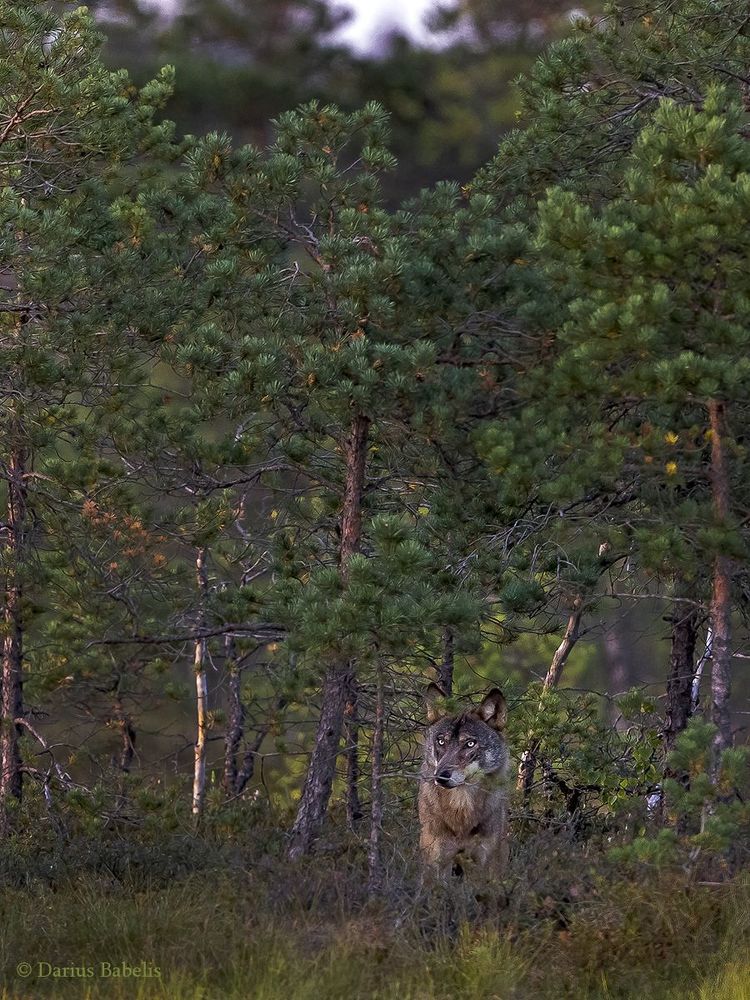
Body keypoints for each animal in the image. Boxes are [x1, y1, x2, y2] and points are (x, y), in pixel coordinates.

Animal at [418, 684, 510, 878]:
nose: (441, 776)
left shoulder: (481, 862)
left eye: (469, 744)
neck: (461, 811)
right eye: (441, 741)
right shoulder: (435, 861)